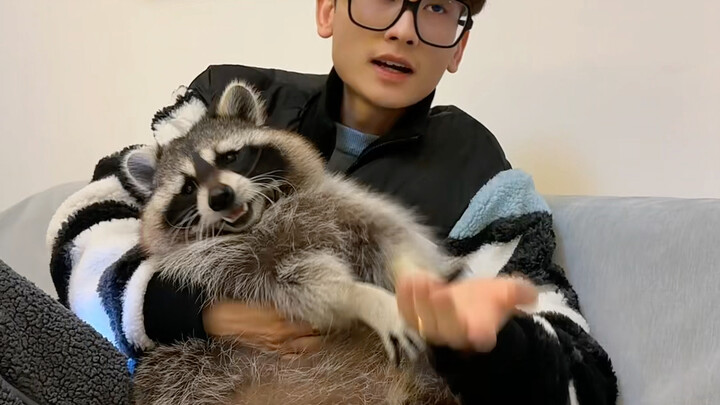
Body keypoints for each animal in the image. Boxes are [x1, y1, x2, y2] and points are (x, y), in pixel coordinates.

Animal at [126, 82, 461, 405]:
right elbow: (310, 288)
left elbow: (390, 237)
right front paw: (363, 296)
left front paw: (414, 278)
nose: (220, 197)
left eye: (229, 157)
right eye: (188, 187)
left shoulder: (344, 206)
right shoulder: (242, 269)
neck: (263, 214)